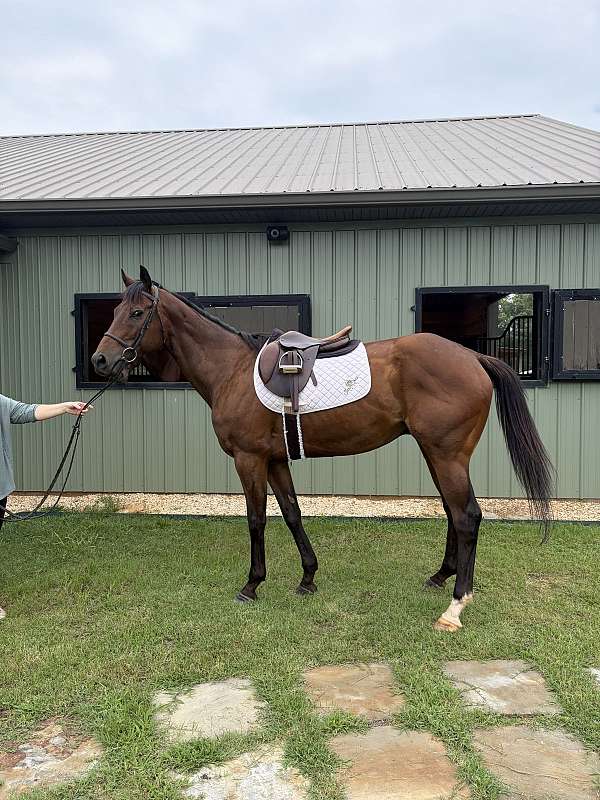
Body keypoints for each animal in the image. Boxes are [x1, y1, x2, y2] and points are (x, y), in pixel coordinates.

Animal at [91, 266, 553, 632]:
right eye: (112, 312)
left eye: (136, 313)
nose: (99, 361)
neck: (232, 371)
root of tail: (473, 358)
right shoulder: (276, 460)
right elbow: (293, 514)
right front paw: (307, 578)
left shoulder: (249, 460)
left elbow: (256, 520)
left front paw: (251, 585)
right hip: (436, 454)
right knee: (452, 513)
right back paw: (440, 577)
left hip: (447, 455)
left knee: (467, 516)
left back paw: (455, 606)